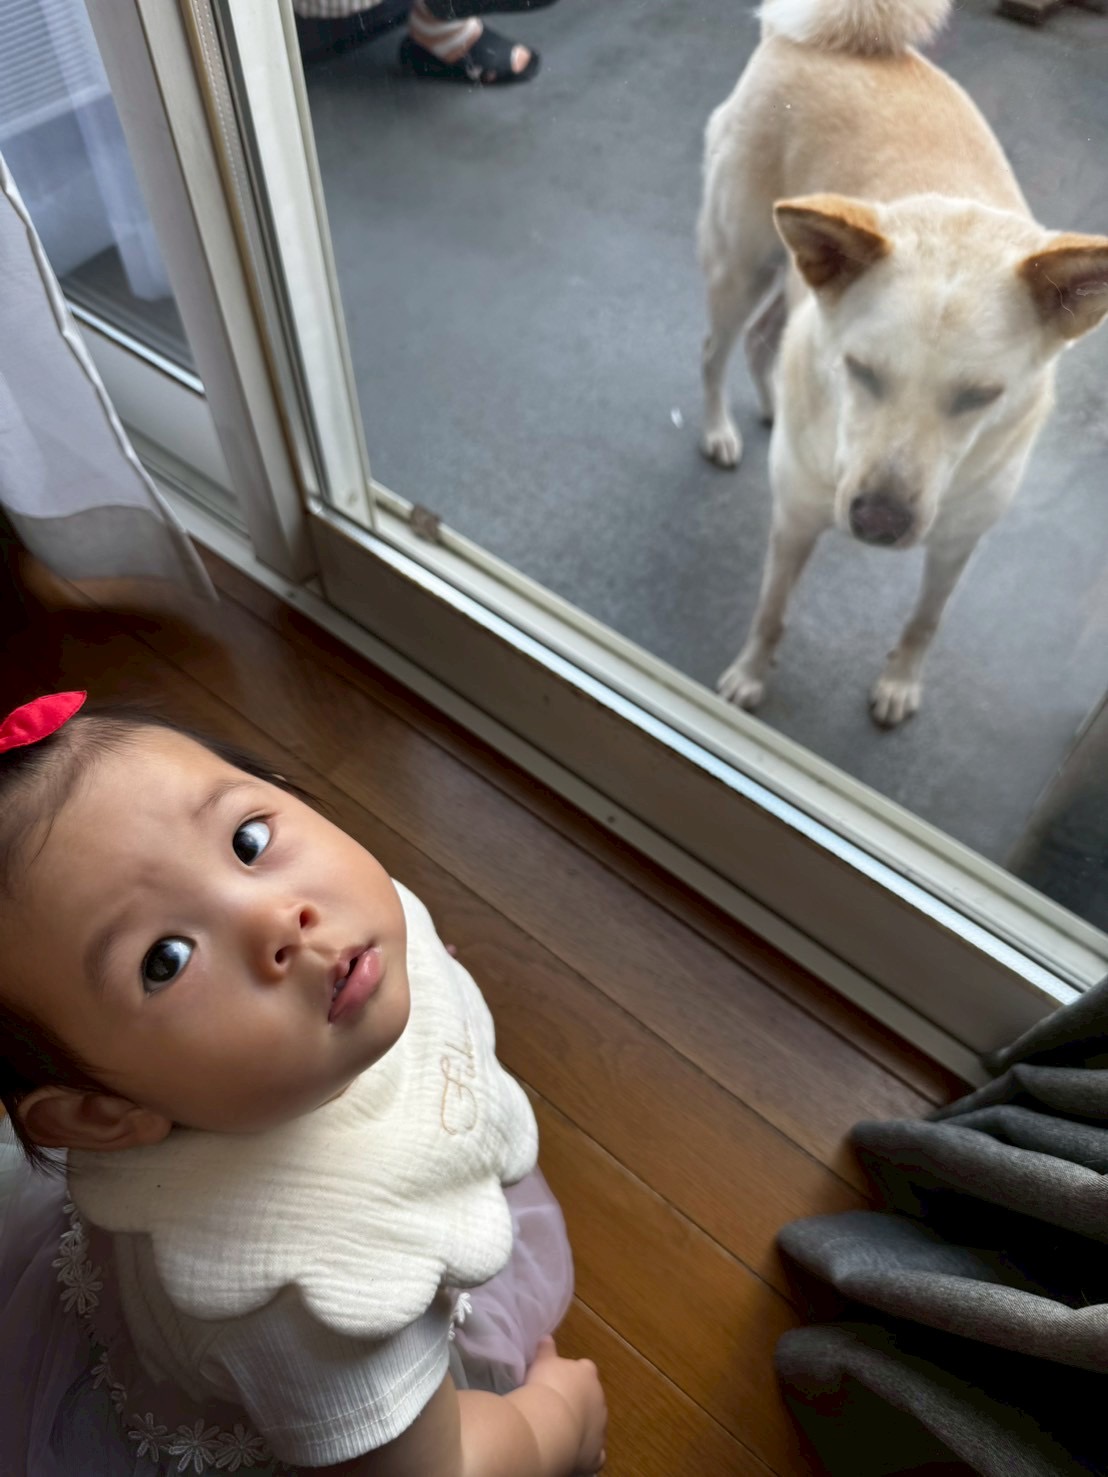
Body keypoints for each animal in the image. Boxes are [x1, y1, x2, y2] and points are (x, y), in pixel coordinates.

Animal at [698, 0, 1108, 725]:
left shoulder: (956, 545)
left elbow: (925, 621)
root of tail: (795, 37)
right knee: (714, 351)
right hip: (740, 267)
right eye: (861, 370)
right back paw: (719, 429)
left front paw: (899, 683)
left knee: (764, 337)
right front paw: (748, 677)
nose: (878, 522)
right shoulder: (795, 519)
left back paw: (773, 405)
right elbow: (771, 610)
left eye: (980, 396)